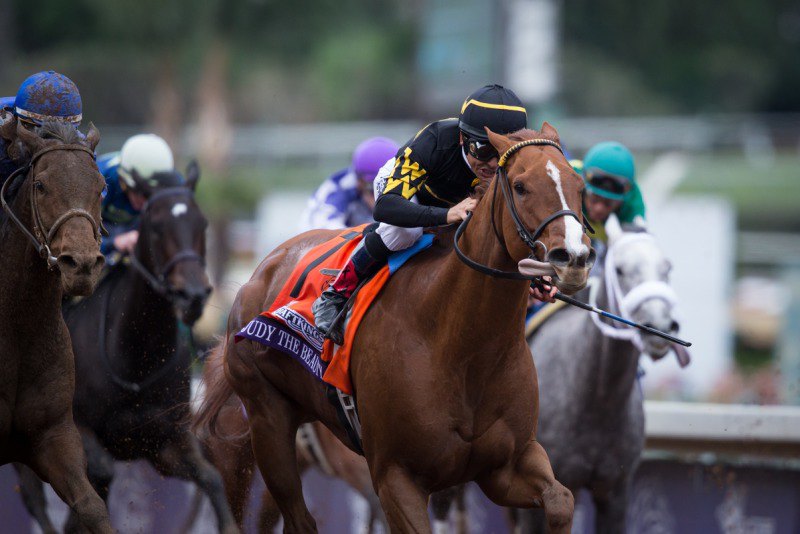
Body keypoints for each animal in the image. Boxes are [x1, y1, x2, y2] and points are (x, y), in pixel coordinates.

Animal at [18, 165, 238, 532]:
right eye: (157, 225)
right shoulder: (74, 430)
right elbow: (98, 477)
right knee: (35, 499)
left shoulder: (165, 441)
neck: (135, 358)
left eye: (202, 224)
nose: (193, 294)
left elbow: (212, 479)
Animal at [195, 124, 592, 532]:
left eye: (579, 185)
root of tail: (258, 273)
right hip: (266, 419)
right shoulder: (394, 476)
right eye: (520, 186)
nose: (573, 258)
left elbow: (561, 500)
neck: (459, 347)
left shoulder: (505, 465)